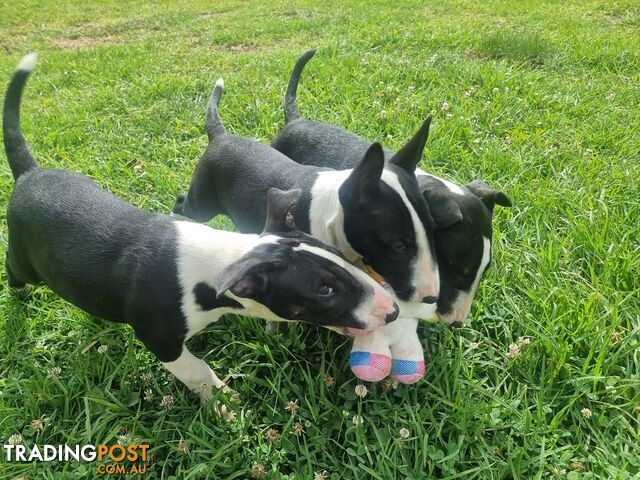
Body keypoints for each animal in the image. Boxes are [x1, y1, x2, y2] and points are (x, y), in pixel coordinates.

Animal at [2, 53, 398, 398]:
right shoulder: (161, 340)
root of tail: (30, 173)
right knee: (17, 272)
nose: (392, 310)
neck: (216, 260)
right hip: (26, 257)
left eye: (338, 255)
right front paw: (225, 405)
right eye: (324, 290)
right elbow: (197, 371)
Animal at [174, 77, 440, 306]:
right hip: (202, 204)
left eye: (431, 229)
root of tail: (221, 136)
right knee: (183, 203)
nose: (432, 297)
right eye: (398, 245)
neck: (334, 215)